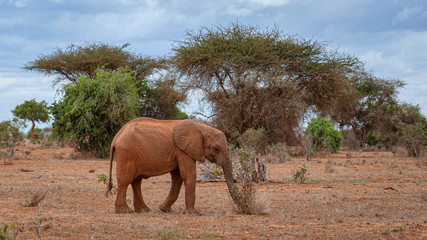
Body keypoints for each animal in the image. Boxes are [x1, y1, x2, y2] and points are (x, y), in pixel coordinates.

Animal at [105, 117, 236, 213]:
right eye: (216, 148)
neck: (201, 127)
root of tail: (116, 138)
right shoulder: (183, 150)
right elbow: (188, 175)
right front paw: (193, 213)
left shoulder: (179, 151)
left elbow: (177, 178)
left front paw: (165, 210)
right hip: (127, 153)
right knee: (125, 180)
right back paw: (124, 211)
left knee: (136, 181)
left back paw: (144, 210)